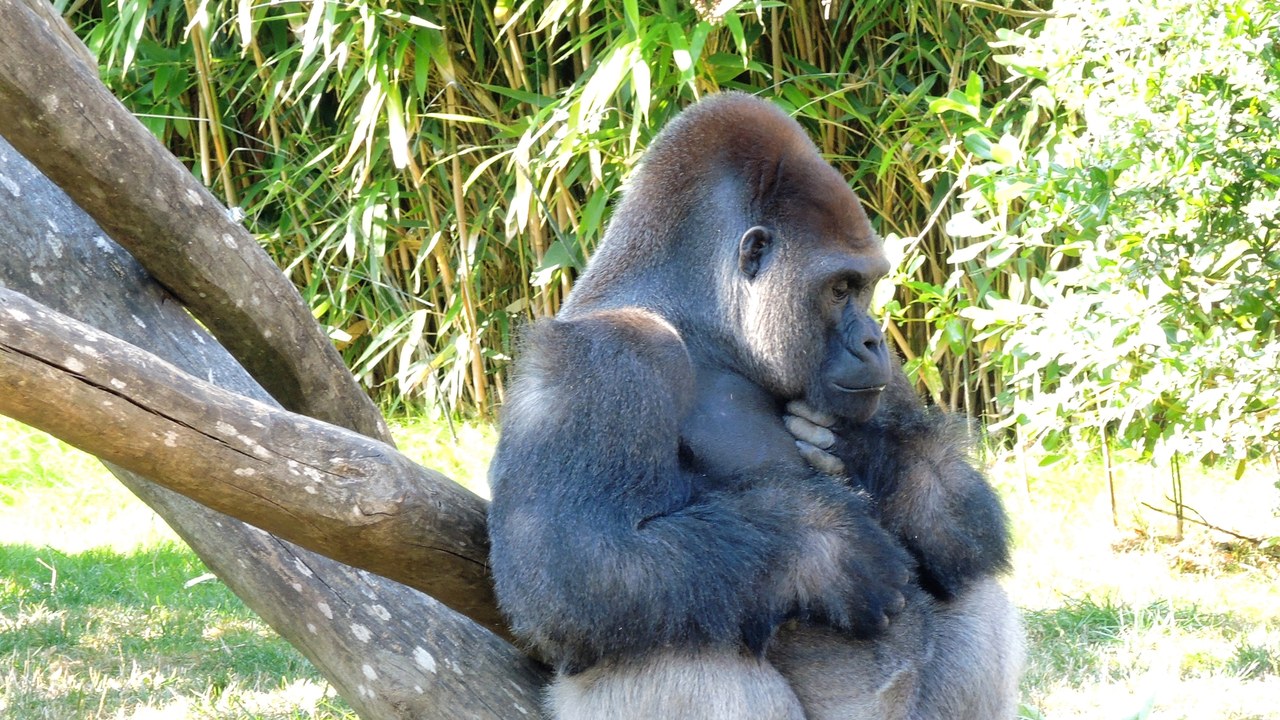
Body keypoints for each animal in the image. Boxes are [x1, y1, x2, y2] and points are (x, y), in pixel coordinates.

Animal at [487, 91, 1023, 720]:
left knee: (969, 579)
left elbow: (958, 510)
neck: (707, 326)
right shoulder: (604, 356)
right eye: (840, 288)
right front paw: (827, 551)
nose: (873, 339)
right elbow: (571, 565)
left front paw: (864, 451)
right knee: (674, 645)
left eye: (866, 288)